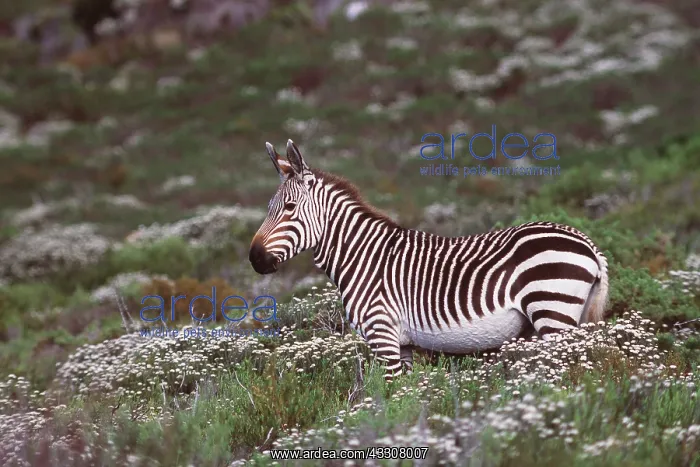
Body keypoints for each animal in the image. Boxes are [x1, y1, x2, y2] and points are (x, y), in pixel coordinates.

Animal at [249, 139, 609, 381]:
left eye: (289, 208)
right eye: (268, 207)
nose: (254, 259)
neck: (362, 257)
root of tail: (589, 243)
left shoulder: (382, 334)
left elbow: (391, 402)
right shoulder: (403, 344)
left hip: (553, 311)